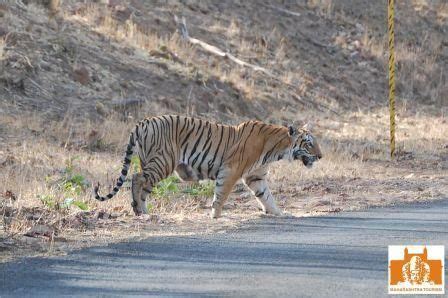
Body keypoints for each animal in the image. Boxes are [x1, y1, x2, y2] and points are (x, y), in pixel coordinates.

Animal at [93, 115, 322, 218]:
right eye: (309, 143)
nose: (321, 156)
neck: (278, 149)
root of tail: (143, 122)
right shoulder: (231, 170)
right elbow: (221, 194)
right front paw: (216, 215)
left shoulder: (255, 177)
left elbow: (266, 196)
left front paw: (278, 213)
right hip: (162, 162)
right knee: (136, 178)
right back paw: (138, 210)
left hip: (154, 163)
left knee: (143, 185)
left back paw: (143, 211)